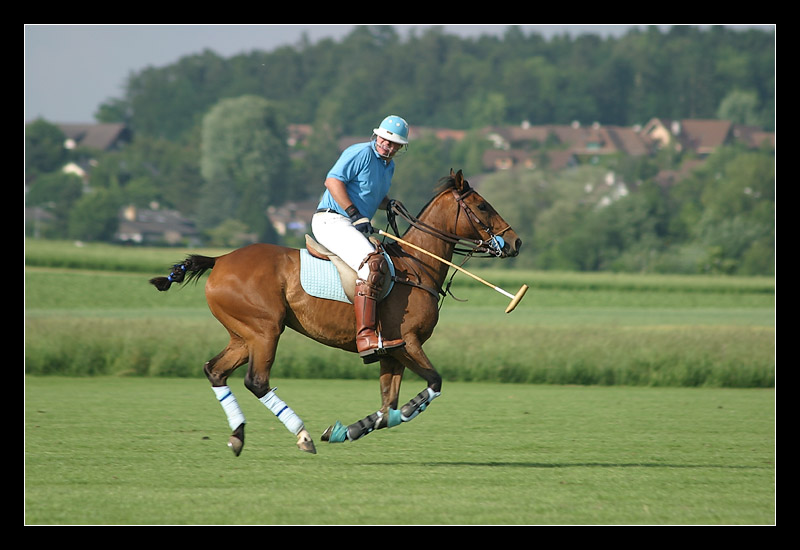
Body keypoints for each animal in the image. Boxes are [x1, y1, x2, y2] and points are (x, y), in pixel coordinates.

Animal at [151, 170, 524, 460]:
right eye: (482, 205)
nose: (516, 242)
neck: (418, 267)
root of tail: (220, 260)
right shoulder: (408, 342)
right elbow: (432, 384)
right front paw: (397, 412)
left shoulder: (392, 352)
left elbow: (387, 406)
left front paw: (348, 430)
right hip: (265, 330)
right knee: (256, 380)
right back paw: (301, 435)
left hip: (242, 334)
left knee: (215, 370)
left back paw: (238, 435)